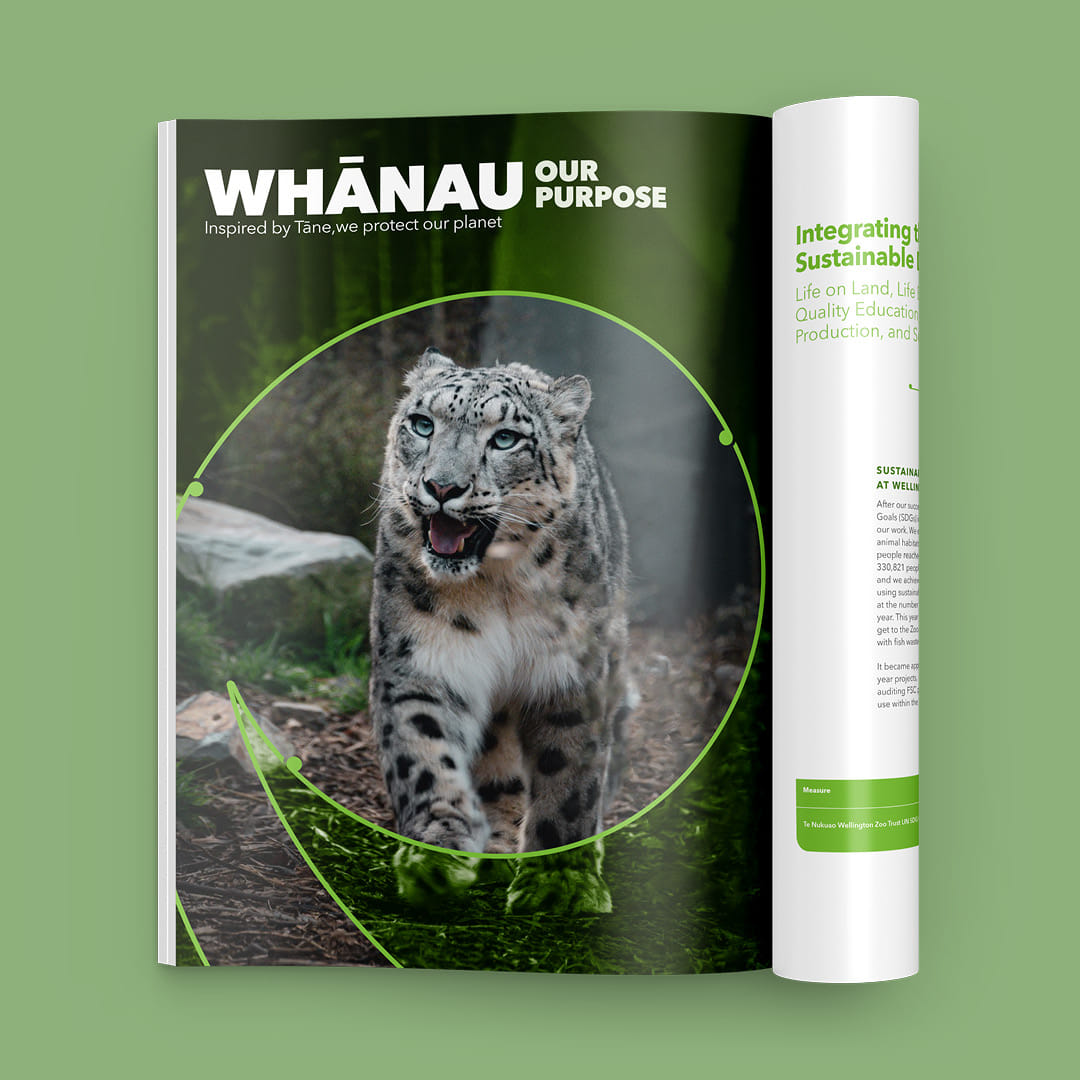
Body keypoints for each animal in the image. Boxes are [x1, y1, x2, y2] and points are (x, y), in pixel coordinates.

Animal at [368, 347, 633, 914]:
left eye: (505, 438)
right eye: (422, 424)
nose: (442, 487)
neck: (496, 587)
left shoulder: (570, 676)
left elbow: (569, 776)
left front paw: (560, 884)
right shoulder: (421, 659)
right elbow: (424, 750)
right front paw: (436, 852)